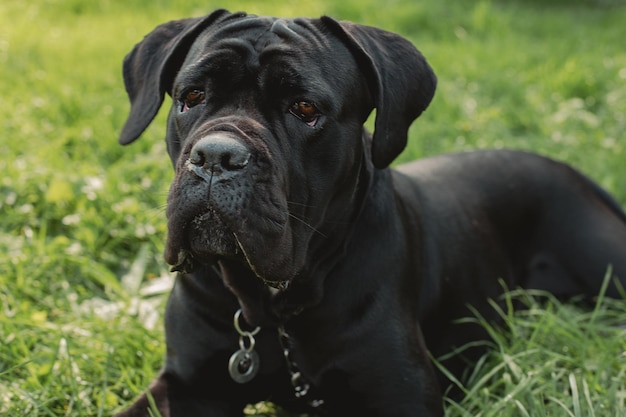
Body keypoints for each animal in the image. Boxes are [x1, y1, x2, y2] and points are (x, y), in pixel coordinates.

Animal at [113, 9, 624, 416]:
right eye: (192, 97)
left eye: (305, 108)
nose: (217, 156)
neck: (273, 309)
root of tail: (575, 174)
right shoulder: (187, 383)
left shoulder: (400, 394)